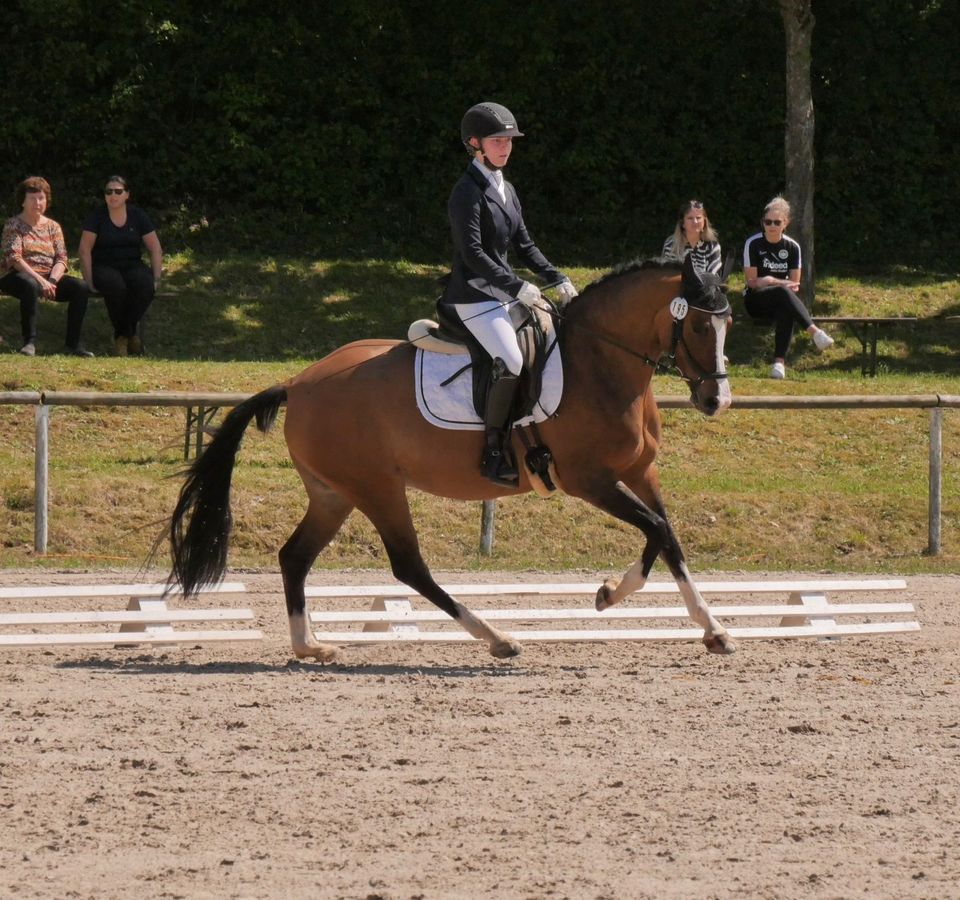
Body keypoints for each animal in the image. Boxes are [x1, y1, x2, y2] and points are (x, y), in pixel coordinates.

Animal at [167, 253, 736, 660]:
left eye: (727, 324)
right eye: (700, 326)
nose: (717, 401)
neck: (599, 363)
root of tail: (298, 382)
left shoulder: (640, 472)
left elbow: (667, 536)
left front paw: (713, 630)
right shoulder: (589, 480)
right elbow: (655, 531)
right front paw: (610, 594)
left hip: (334, 493)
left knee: (295, 557)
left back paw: (310, 646)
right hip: (376, 488)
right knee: (408, 566)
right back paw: (498, 639)